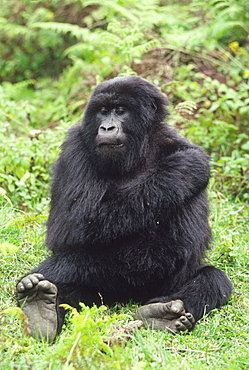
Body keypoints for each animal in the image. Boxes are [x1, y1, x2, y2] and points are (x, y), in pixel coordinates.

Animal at [17, 75, 231, 342]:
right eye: (103, 111)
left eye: (120, 111)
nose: (107, 128)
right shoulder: (75, 146)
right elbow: (73, 225)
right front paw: (184, 169)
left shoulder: (178, 145)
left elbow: (171, 248)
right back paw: (41, 311)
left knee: (214, 280)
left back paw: (161, 316)